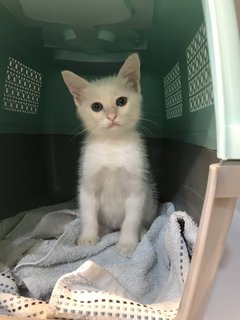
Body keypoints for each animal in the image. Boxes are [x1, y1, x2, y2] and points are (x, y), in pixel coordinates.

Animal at [61, 53, 158, 256]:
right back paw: (102, 229)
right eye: (96, 106)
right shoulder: (87, 186)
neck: (113, 144)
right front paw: (88, 237)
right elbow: (89, 214)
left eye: (121, 101)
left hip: (150, 198)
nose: (112, 116)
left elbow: (131, 220)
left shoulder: (137, 189)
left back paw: (141, 230)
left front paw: (127, 243)